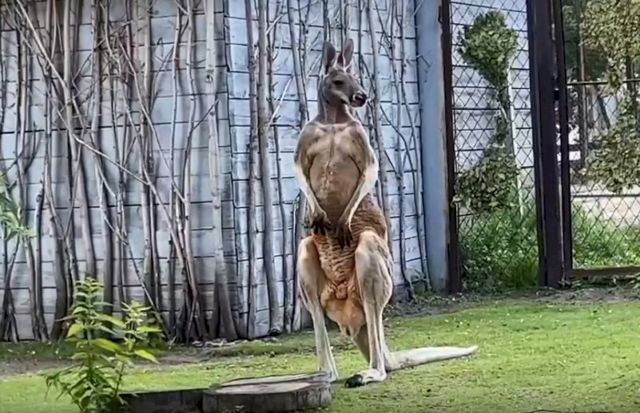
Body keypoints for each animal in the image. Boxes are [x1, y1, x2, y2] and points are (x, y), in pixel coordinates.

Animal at [293, 38, 478, 388]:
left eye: (356, 78)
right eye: (339, 81)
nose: (362, 97)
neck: (334, 120)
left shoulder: (362, 141)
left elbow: (371, 170)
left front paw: (342, 221)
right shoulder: (305, 138)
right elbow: (298, 171)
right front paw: (315, 214)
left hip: (372, 258)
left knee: (375, 318)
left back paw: (368, 373)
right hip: (308, 260)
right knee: (313, 284)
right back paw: (325, 373)